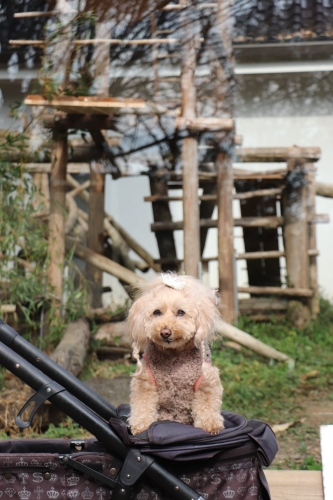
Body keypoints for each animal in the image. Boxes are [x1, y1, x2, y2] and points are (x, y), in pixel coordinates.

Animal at [126, 274, 223, 434]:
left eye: (181, 312)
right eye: (157, 312)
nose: (165, 332)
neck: (173, 353)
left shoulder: (206, 381)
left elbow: (207, 405)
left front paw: (210, 425)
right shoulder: (145, 381)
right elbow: (143, 405)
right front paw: (141, 426)